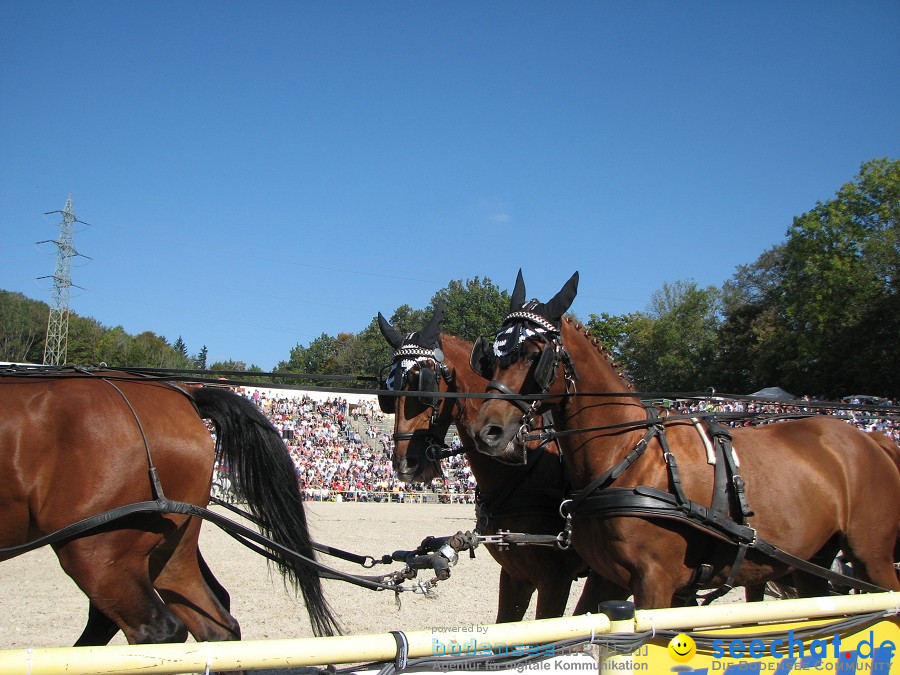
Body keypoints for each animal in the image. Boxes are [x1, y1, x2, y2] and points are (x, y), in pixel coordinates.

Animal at [472, 272, 900, 608]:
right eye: (492, 357)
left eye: (533, 354)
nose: (486, 431)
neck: (629, 456)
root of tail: (871, 438)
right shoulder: (609, 578)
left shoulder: (654, 582)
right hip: (811, 563)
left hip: (871, 557)